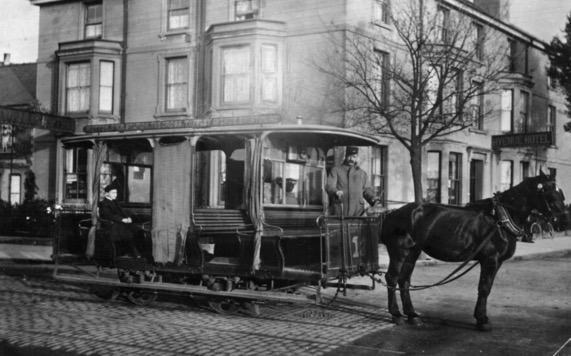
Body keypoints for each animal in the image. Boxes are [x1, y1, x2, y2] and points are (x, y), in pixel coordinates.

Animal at [382, 172, 564, 330]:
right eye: (548, 188)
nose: (562, 217)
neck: (500, 219)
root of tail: (394, 212)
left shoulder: (496, 262)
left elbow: (487, 288)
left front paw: (482, 317)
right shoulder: (490, 260)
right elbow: (483, 288)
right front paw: (481, 320)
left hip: (413, 252)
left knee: (404, 280)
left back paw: (412, 315)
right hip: (400, 251)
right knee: (392, 278)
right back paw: (396, 314)